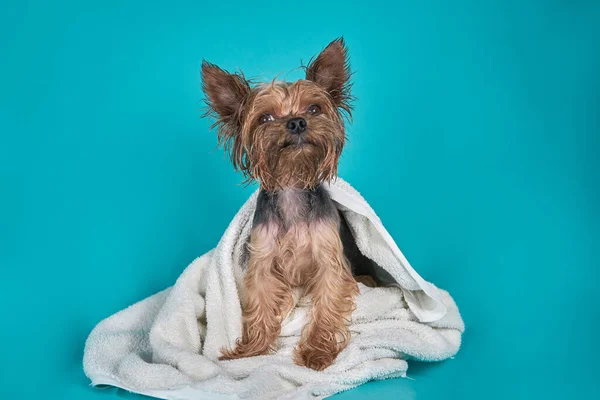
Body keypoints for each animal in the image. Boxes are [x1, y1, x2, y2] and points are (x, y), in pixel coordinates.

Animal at [202, 39, 376, 370]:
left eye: (314, 108)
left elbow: (327, 306)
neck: (292, 187)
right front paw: (251, 350)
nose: (296, 122)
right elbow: (259, 306)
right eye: (265, 118)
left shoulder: (330, 263)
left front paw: (317, 352)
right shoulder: (262, 263)